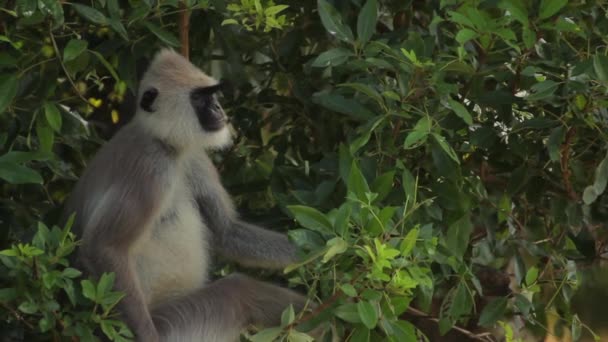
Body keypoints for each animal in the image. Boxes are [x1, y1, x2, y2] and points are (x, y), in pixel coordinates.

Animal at [63, 48, 308, 342]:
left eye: (213, 96)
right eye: (200, 99)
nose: (218, 109)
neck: (166, 144)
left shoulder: (194, 156)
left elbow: (226, 231)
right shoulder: (151, 166)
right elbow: (103, 247)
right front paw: (147, 337)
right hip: (177, 323)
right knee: (238, 290)